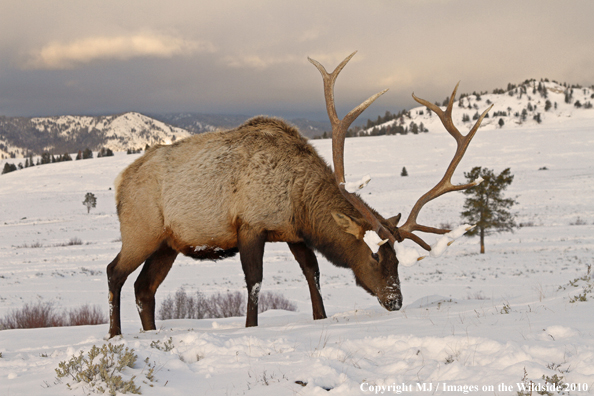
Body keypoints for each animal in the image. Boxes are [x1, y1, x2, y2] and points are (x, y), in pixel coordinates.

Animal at [105, 51, 490, 338]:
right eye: (375, 256)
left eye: (397, 260)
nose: (395, 301)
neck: (298, 201)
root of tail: (121, 182)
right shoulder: (250, 225)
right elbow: (255, 282)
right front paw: (251, 327)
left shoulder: (293, 233)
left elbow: (313, 273)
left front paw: (320, 317)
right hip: (141, 230)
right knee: (114, 272)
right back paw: (114, 334)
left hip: (167, 244)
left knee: (144, 288)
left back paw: (149, 333)